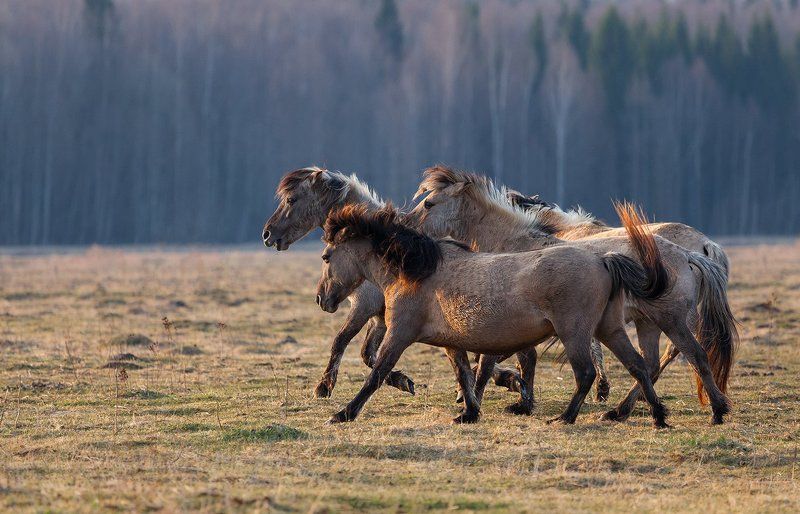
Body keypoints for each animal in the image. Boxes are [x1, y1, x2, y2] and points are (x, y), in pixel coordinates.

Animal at [316, 203, 670, 427]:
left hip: (575, 333)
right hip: (609, 330)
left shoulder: (399, 332)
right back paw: (658, 416)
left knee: (585, 373)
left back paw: (566, 418)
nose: (322, 298)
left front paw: (344, 413)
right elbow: (465, 374)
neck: (416, 272)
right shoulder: (452, 343)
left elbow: (377, 372)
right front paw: (469, 413)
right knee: (638, 366)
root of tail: (602, 260)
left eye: (326, 256)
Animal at [408, 165, 737, 425]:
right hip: (648, 323)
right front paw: (520, 401)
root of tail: (689, 254)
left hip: (672, 320)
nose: (407, 227)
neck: (514, 242)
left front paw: (475, 403)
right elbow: (523, 359)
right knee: (652, 363)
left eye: (429, 203)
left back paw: (716, 411)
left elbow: (493, 362)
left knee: (695, 356)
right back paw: (621, 411)